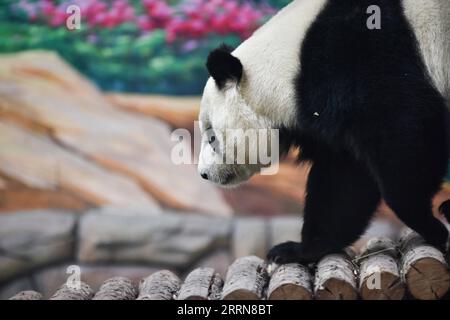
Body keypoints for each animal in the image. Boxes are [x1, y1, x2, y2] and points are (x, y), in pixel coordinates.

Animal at [197, 0, 450, 262]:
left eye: (212, 137)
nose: (204, 174)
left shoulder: (361, 56)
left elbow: (404, 128)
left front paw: (429, 225)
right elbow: (344, 181)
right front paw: (297, 250)